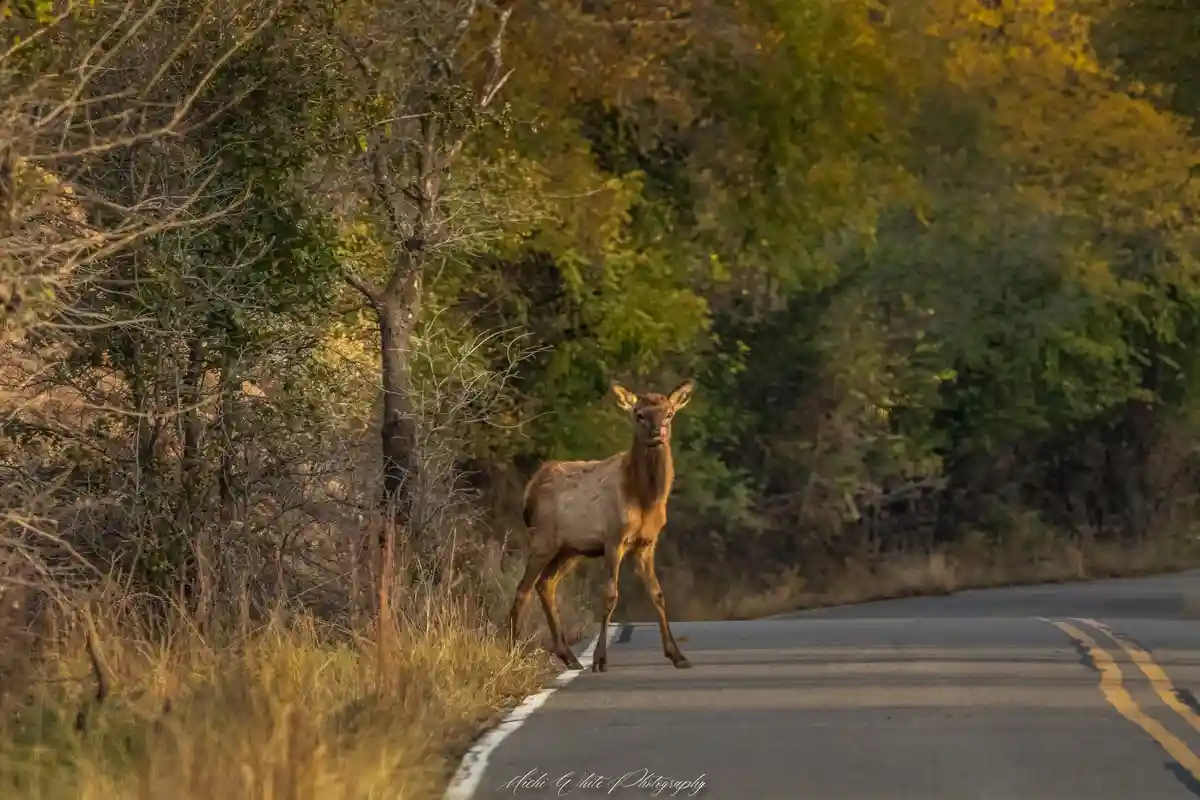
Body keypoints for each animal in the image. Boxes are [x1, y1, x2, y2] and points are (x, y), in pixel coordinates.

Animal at [508, 379, 695, 673]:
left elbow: (657, 593)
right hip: (543, 538)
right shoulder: (614, 538)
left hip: (570, 550)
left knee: (545, 584)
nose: (658, 432)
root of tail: (531, 489)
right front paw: (599, 659)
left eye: (669, 413)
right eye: (639, 414)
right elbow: (610, 595)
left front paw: (678, 655)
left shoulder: (646, 543)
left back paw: (569, 656)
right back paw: (515, 652)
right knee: (523, 589)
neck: (645, 498)